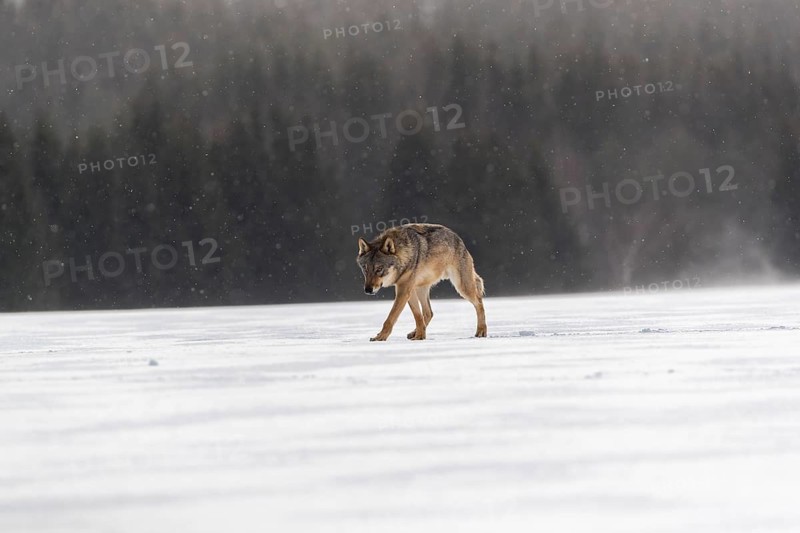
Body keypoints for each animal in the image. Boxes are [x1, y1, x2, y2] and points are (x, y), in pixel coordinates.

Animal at [356, 223, 487, 341]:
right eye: (365, 269)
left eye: (379, 269)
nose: (368, 290)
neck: (404, 254)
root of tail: (459, 239)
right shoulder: (407, 290)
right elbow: (418, 315)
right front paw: (420, 336)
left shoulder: (404, 291)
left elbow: (391, 317)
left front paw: (381, 337)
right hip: (420, 289)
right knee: (429, 312)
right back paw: (414, 332)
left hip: (462, 287)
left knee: (479, 302)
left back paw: (481, 331)